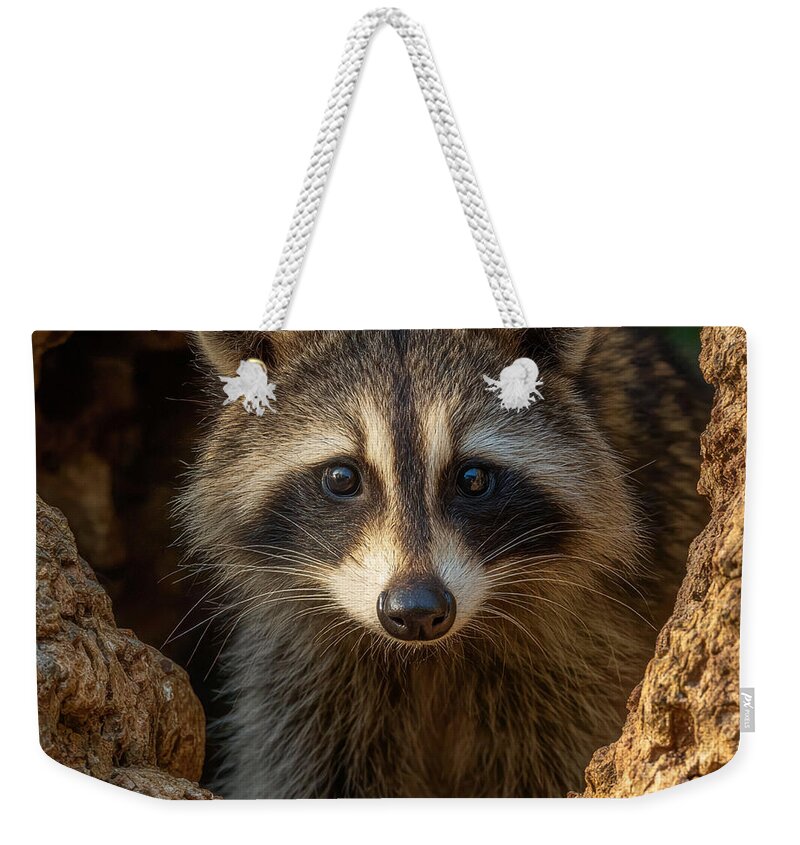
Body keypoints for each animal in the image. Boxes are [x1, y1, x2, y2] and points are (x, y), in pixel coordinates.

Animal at [178, 328, 710, 798]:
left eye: (472, 478)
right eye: (342, 477)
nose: (416, 610)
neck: (429, 657)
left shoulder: (584, 650)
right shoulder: (303, 672)